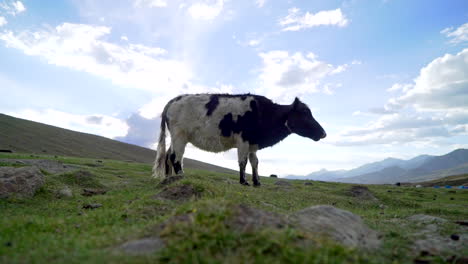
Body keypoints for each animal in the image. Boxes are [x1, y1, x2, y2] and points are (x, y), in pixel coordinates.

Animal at [153, 94, 326, 187]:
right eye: (304, 113)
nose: (323, 133)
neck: (263, 113)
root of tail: (173, 101)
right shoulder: (243, 140)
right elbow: (243, 161)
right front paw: (244, 182)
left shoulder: (253, 143)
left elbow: (255, 162)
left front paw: (257, 182)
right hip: (179, 135)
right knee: (176, 157)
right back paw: (181, 176)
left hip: (177, 138)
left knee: (168, 155)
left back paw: (169, 177)